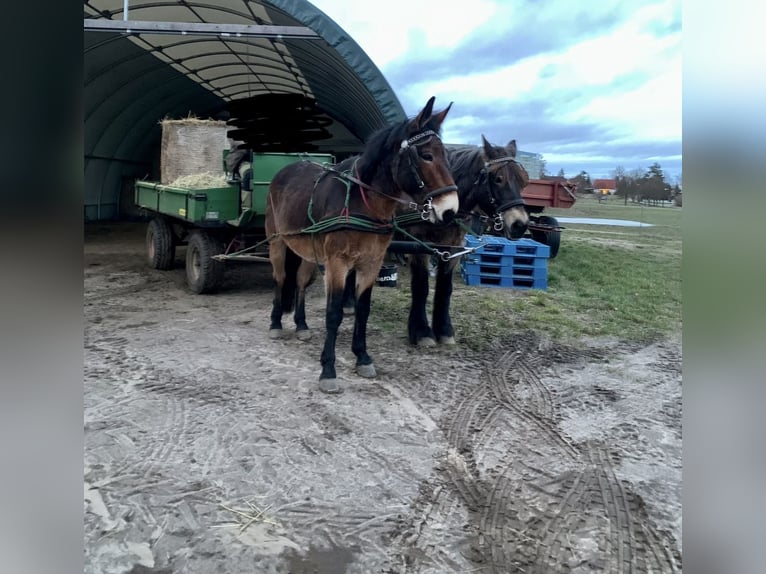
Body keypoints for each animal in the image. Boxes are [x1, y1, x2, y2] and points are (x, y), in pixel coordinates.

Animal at [265, 97, 459, 394]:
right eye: (426, 155)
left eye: (446, 155)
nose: (450, 211)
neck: (362, 201)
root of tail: (286, 168)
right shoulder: (337, 264)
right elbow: (334, 313)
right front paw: (328, 371)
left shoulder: (371, 263)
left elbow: (363, 310)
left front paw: (363, 357)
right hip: (276, 242)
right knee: (280, 277)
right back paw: (276, 323)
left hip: (309, 251)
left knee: (299, 282)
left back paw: (301, 325)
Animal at [343, 136, 530, 346]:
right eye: (498, 179)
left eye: (524, 180)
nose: (520, 224)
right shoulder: (420, 244)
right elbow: (421, 286)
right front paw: (421, 331)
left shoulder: (453, 246)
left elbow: (445, 287)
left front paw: (444, 329)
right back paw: (348, 303)